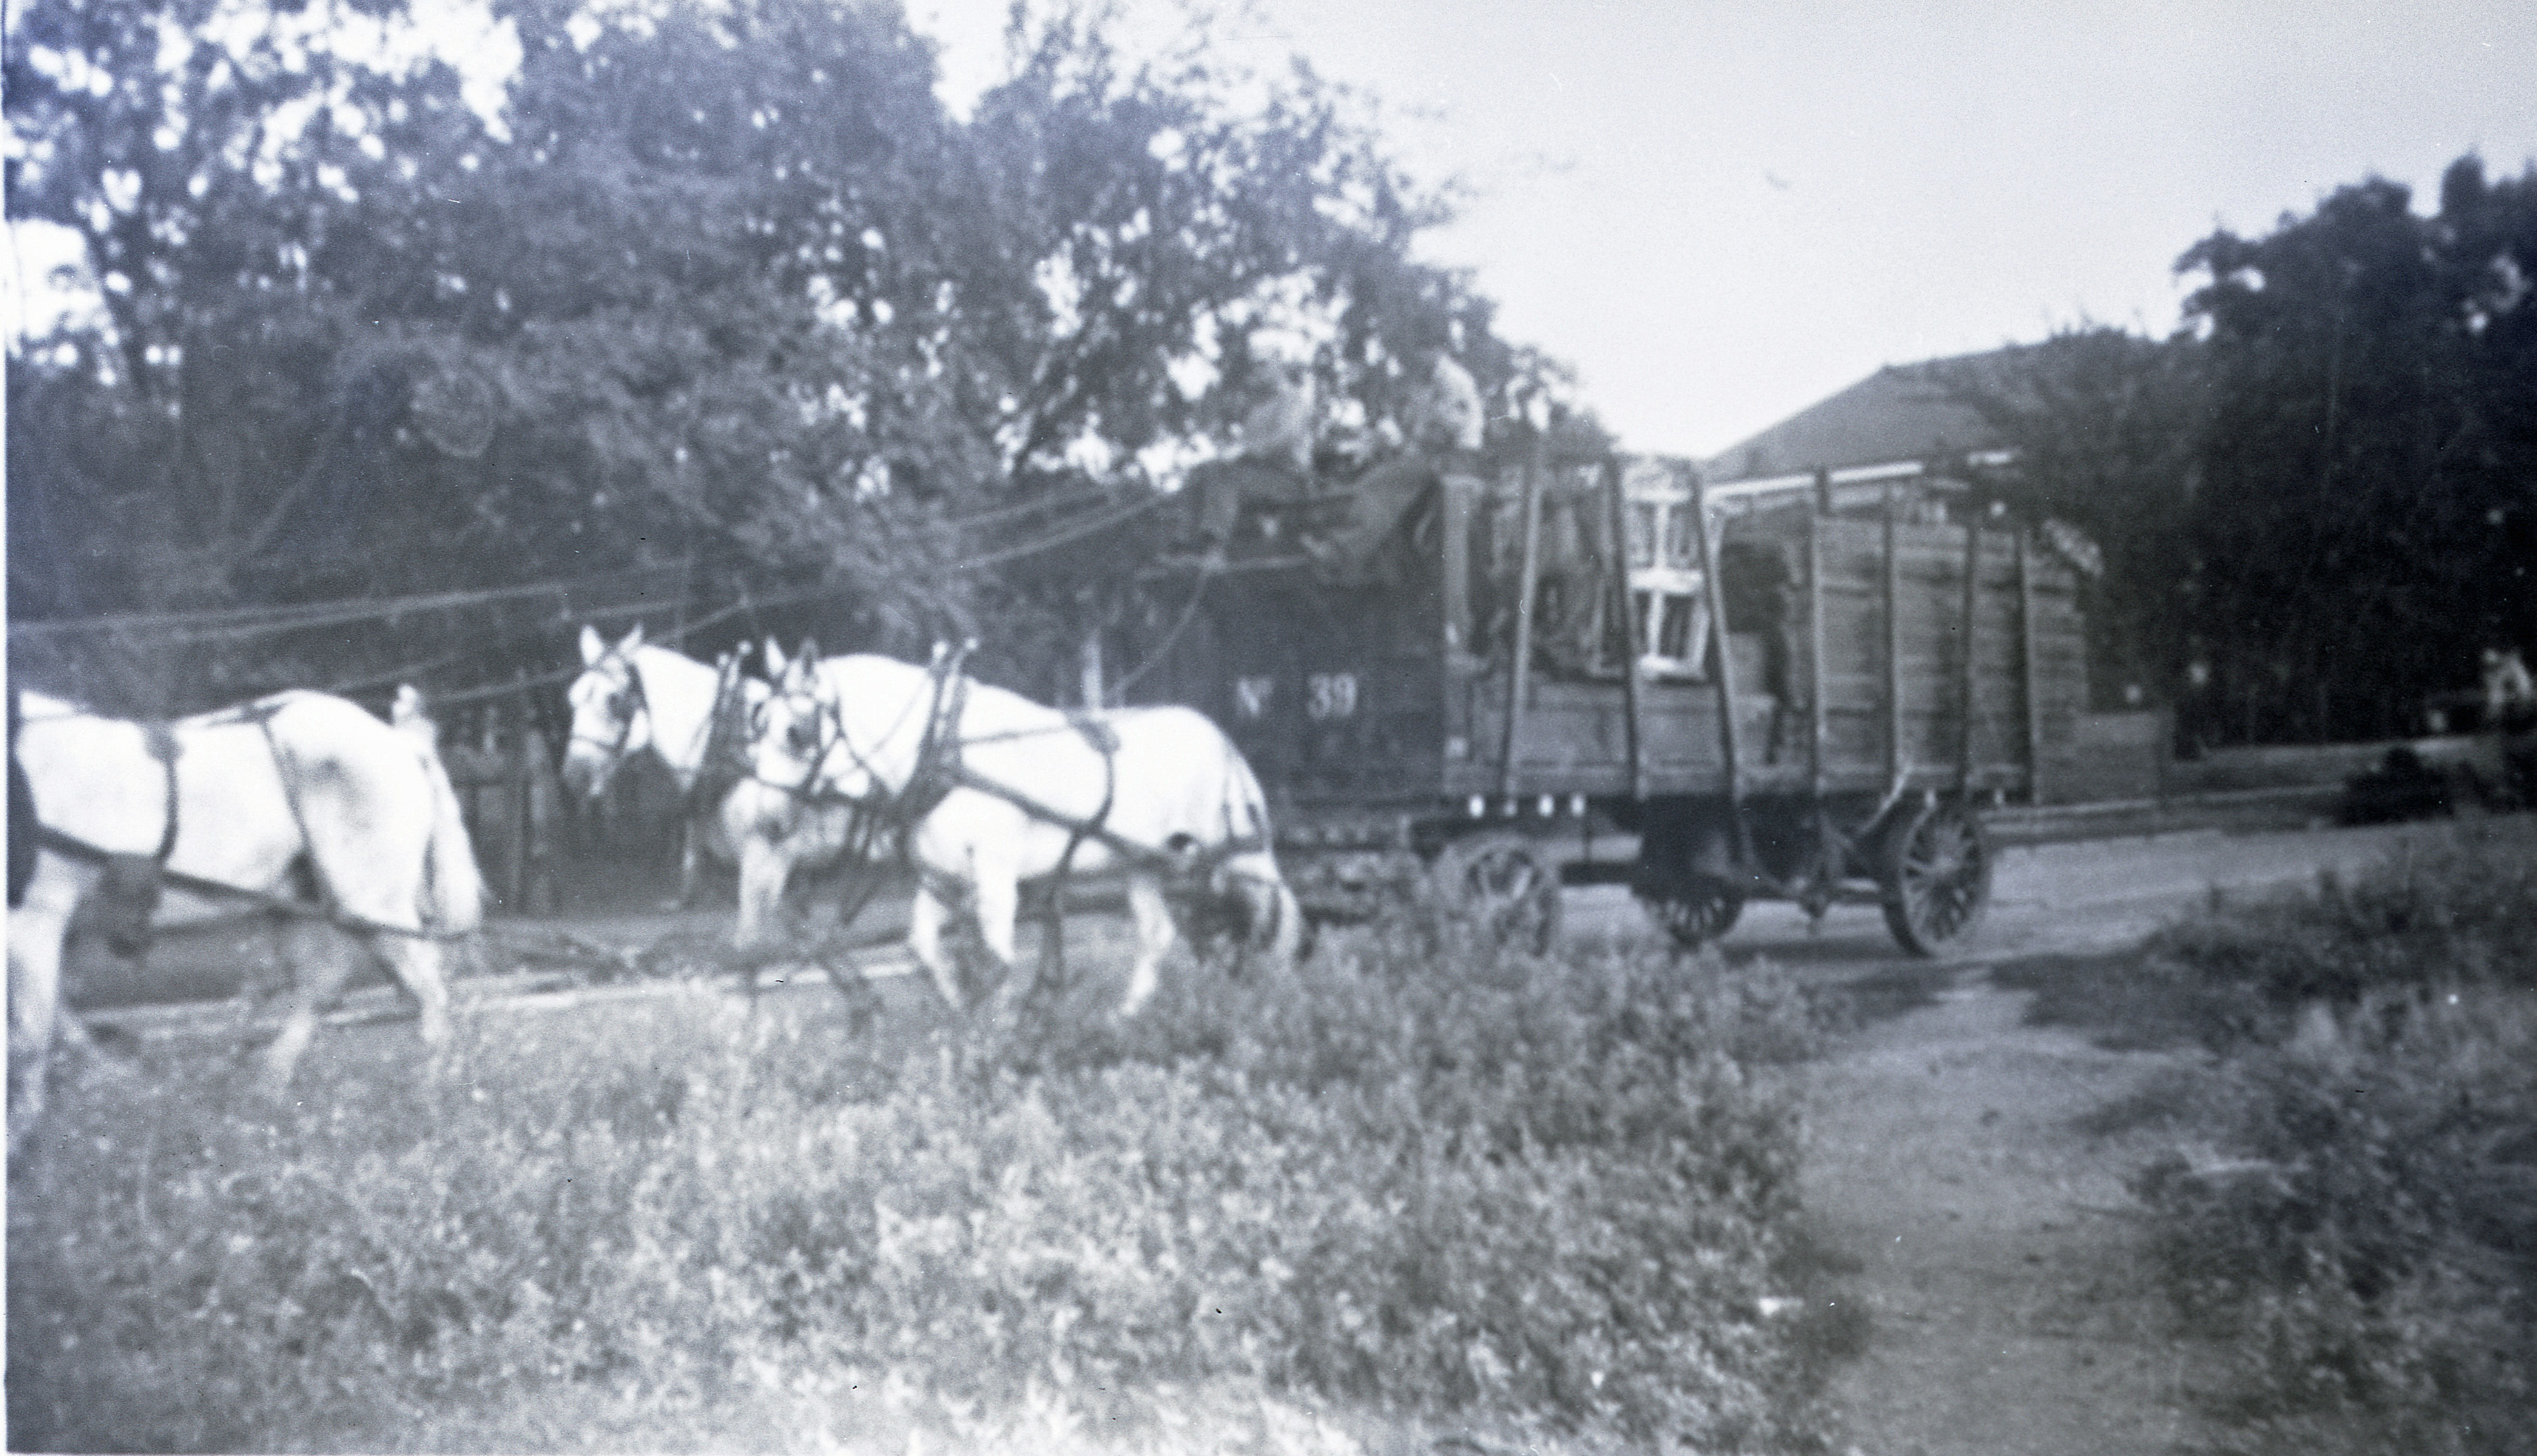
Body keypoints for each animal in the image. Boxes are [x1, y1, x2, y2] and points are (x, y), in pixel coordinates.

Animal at [7, 690, 482, 1151]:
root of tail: (402, 743)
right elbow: (58, 1016)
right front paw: (112, 1080)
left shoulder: (34, 917)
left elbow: (32, 1034)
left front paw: (20, 1134)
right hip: (303, 899)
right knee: (324, 983)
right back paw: (268, 1085)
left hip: (369, 899)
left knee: (430, 993)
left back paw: (428, 1103)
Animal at [730, 644, 1288, 1019]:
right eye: (756, 725)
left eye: (796, 733)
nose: (767, 819)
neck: (943, 750)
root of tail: (1221, 738)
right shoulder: (944, 876)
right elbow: (922, 949)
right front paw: (960, 1011)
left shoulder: (995, 874)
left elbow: (997, 960)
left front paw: (994, 1036)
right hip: (1144, 863)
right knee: (1159, 934)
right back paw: (1127, 1016)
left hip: (1239, 852)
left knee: (1271, 915)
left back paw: (1270, 1001)